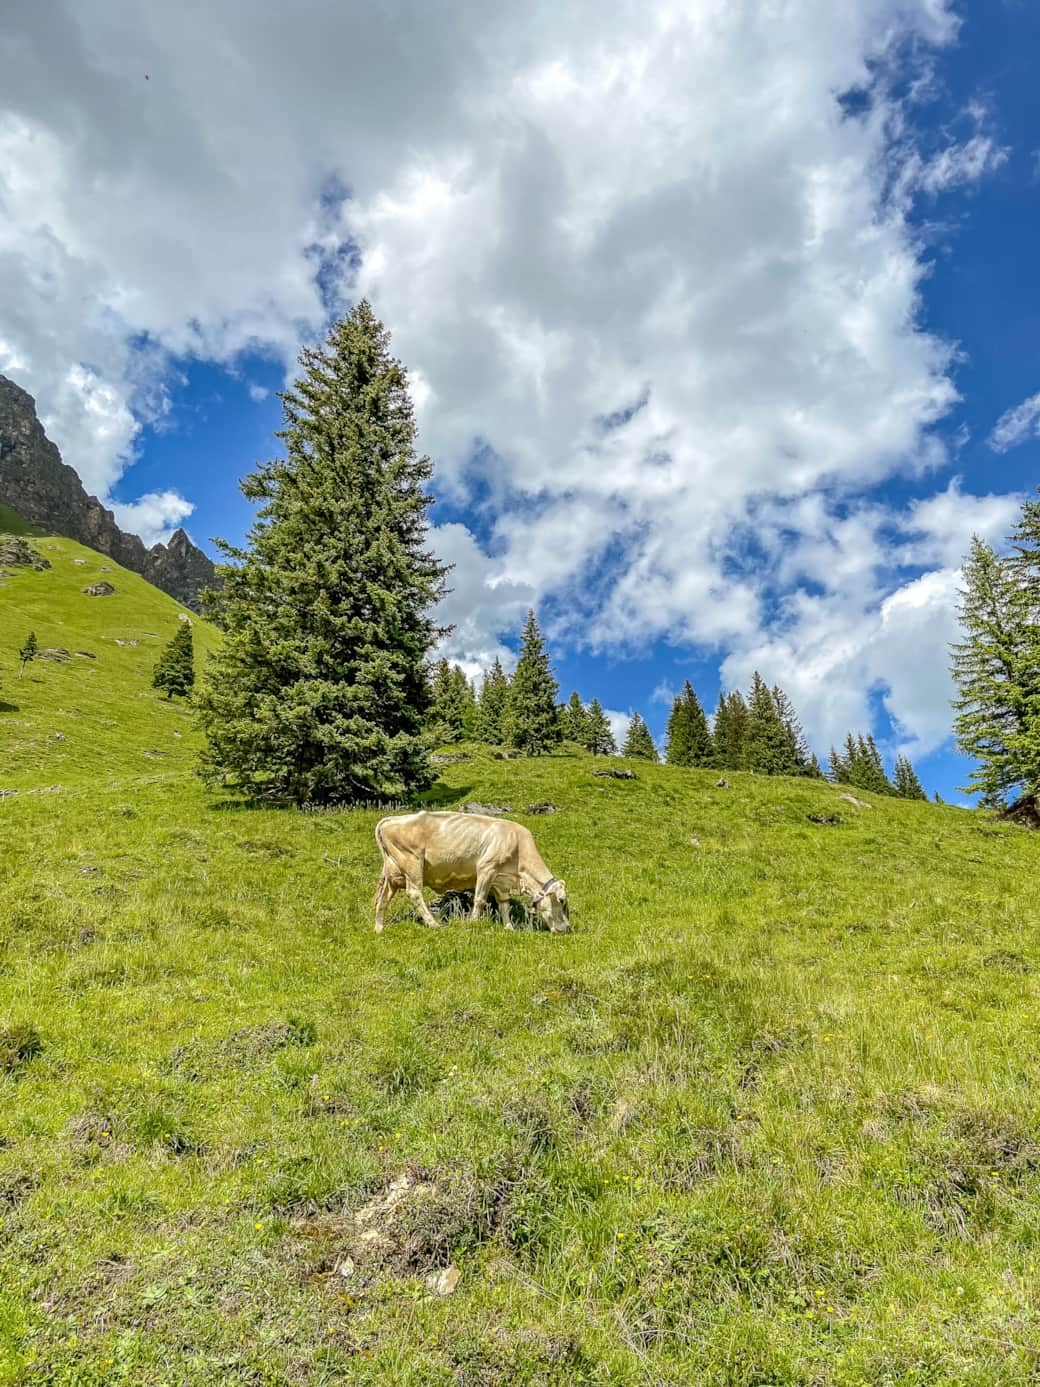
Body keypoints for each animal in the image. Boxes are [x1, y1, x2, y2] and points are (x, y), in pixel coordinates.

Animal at [371, 810, 574, 937]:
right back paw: (434, 924)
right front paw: (474, 922)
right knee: (414, 893)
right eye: (561, 900)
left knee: (384, 898)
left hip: (393, 873)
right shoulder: (486, 868)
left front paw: (509, 928)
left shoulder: (501, 882)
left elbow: (504, 906)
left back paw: (379, 929)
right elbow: (480, 899)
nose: (568, 929)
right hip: (412, 863)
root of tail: (391, 819)